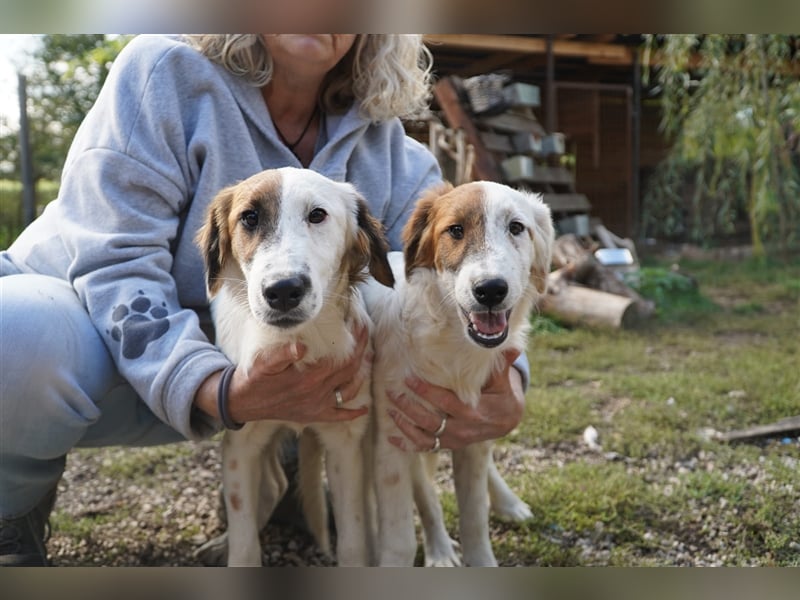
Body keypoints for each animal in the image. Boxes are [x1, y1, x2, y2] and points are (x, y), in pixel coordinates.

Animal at [195, 166, 392, 564]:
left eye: (317, 215)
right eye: (249, 218)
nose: (283, 290)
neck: (299, 344)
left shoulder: (344, 445)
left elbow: (353, 537)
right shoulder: (240, 444)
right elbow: (244, 545)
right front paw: (234, 546)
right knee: (274, 484)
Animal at [366, 180, 552, 564]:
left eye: (516, 227)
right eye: (455, 230)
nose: (491, 290)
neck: (451, 346)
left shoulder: (474, 424)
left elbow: (474, 518)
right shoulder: (392, 441)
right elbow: (400, 537)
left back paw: (507, 503)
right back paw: (439, 548)